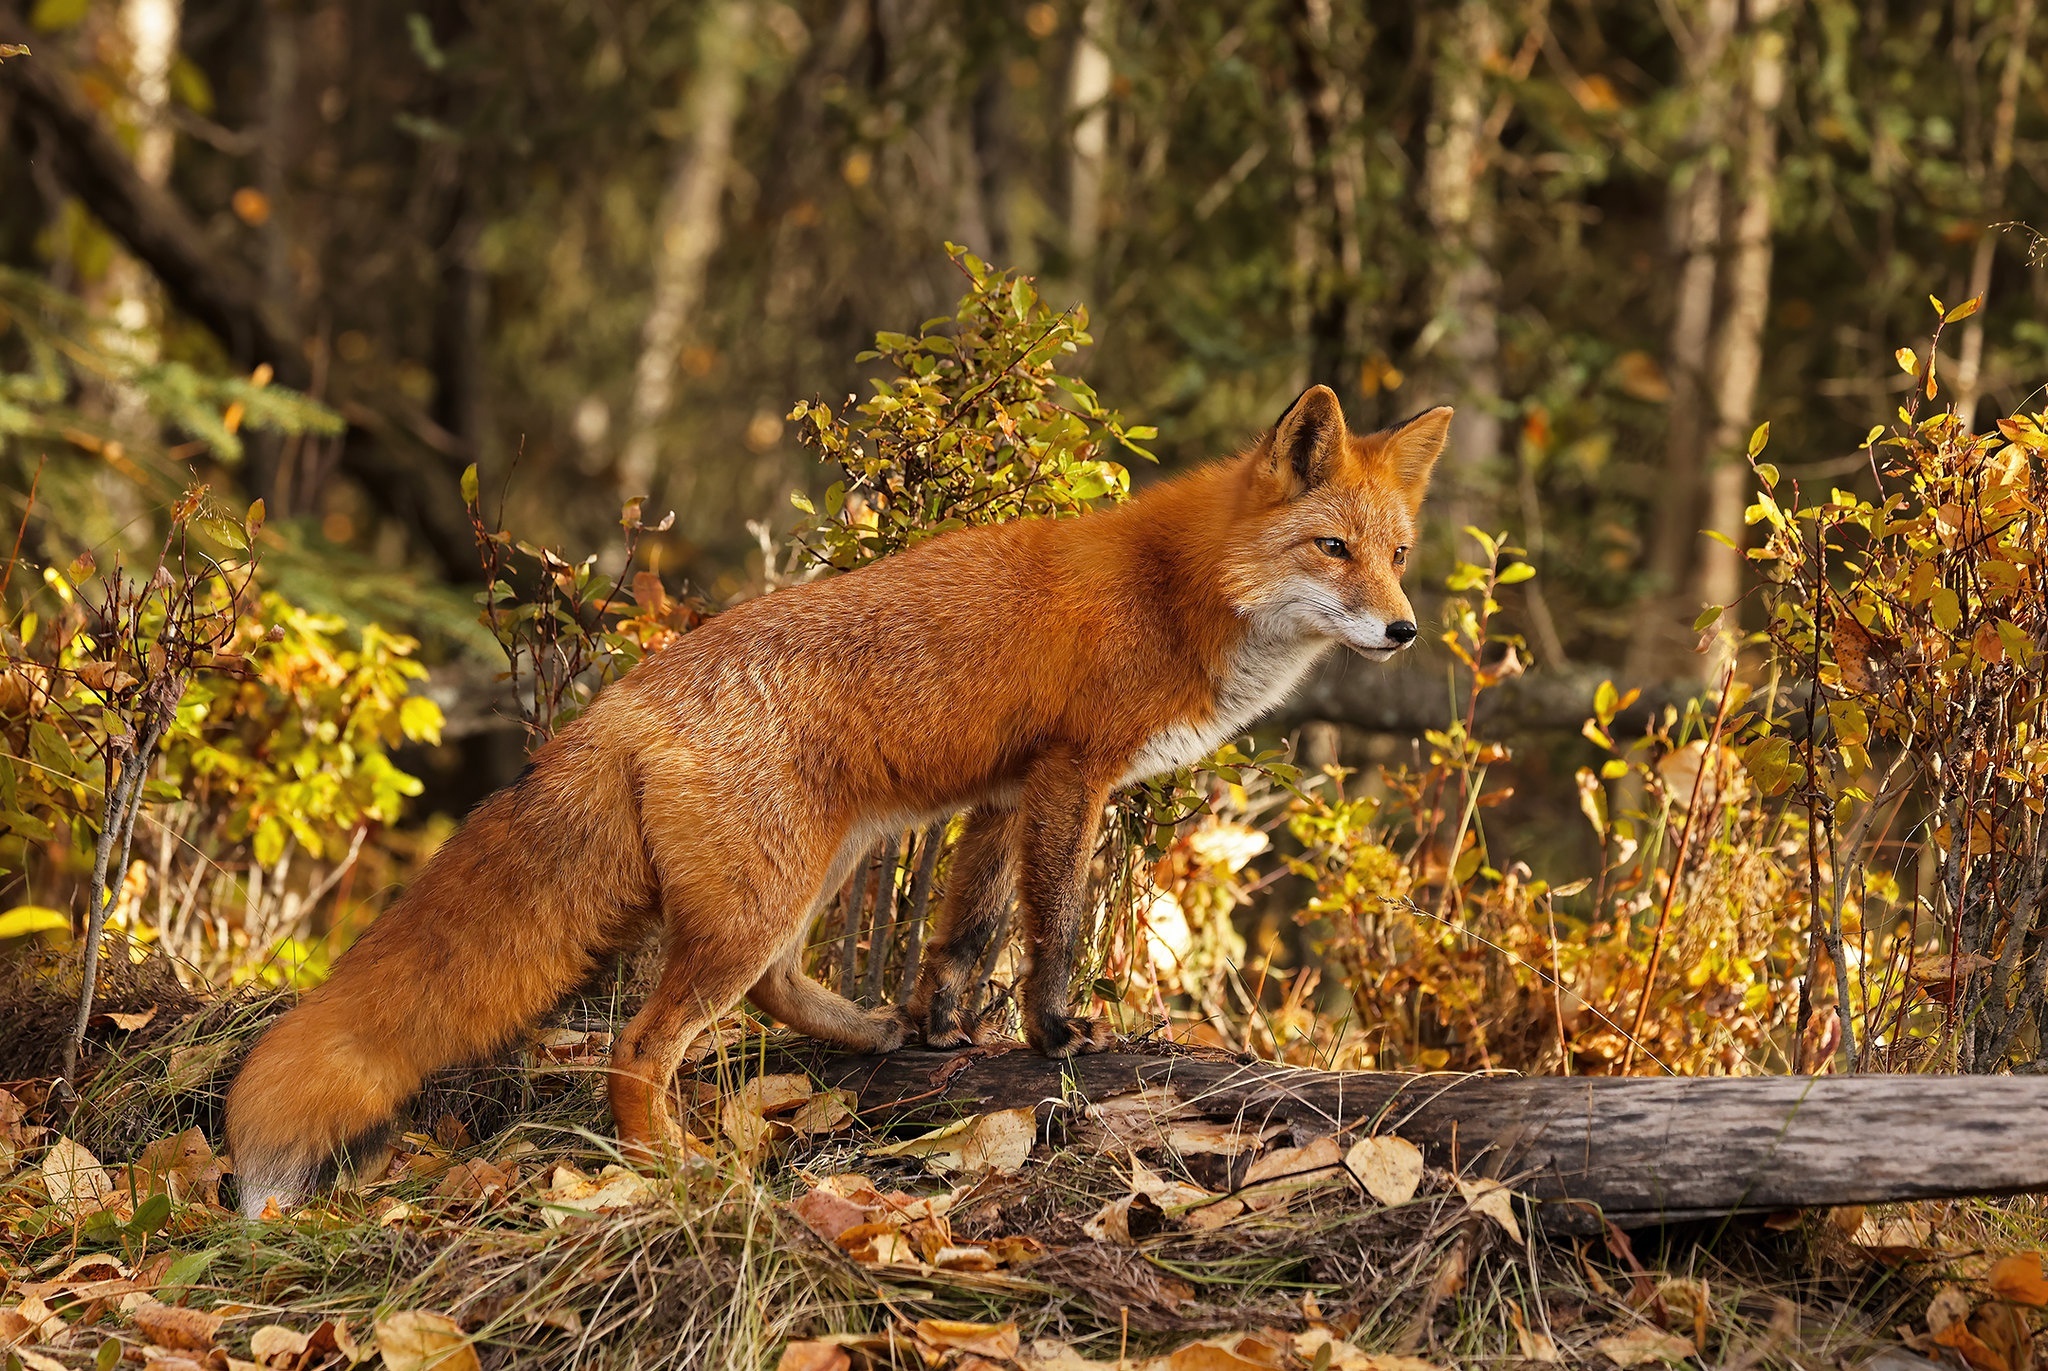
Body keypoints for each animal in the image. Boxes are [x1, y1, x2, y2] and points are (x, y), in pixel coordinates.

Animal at [223, 384, 1449, 1216]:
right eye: (1330, 547)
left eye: (1396, 555)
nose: (1402, 631)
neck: (1176, 588)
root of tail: (623, 702)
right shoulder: (1072, 776)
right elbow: (1050, 927)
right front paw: (1055, 1032)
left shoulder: (1003, 794)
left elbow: (964, 931)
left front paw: (945, 1026)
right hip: (767, 897)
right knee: (642, 1044)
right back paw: (670, 1168)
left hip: (812, 869)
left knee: (772, 990)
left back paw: (865, 1035)